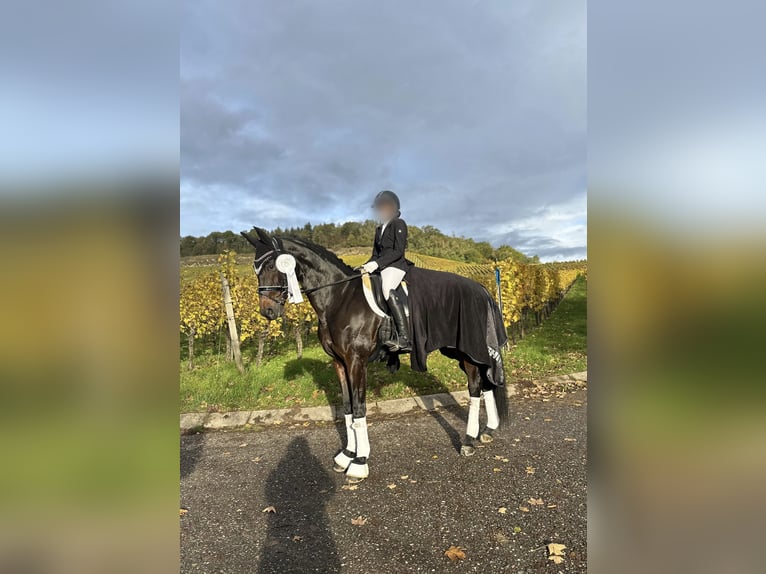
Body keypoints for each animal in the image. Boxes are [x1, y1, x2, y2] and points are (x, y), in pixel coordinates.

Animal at [243, 227, 508, 484]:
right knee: (485, 383)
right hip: (459, 350)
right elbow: (347, 407)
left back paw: (468, 441)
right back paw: (488, 431)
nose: (267, 311)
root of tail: (481, 288)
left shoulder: (356, 362)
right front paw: (346, 455)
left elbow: (359, 409)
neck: (339, 297)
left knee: (475, 388)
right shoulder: (339, 363)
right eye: (255, 269)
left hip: (468, 351)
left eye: (270, 266)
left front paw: (359, 463)